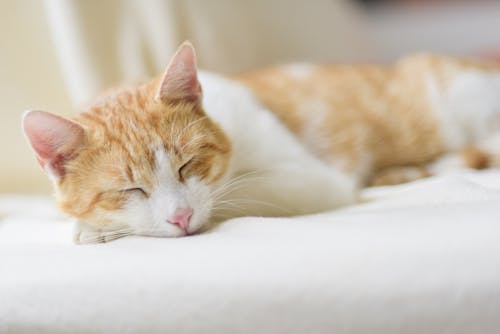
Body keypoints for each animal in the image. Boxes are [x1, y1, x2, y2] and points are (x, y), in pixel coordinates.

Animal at [23, 41, 500, 243]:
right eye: (131, 189)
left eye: (187, 165)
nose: (181, 217)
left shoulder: (314, 180)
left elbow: (238, 195)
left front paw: (91, 229)